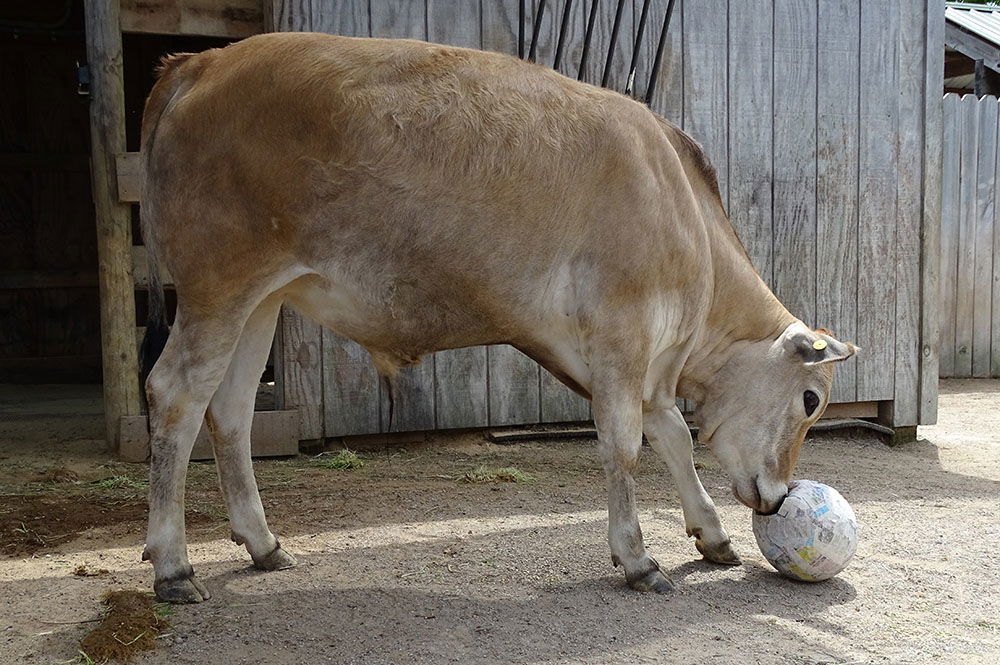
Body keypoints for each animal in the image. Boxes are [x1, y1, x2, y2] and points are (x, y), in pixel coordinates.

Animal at [139, 31, 860, 600]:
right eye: (811, 399)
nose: (780, 497)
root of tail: (202, 62)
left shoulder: (647, 364)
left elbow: (674, 437)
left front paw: (711, 535)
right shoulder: (621, 336)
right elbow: (625, 446)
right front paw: (637, 557)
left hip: (260, 300)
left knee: (230, 410)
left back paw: (263, 543)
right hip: (218, 282)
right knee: (174, 394)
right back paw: (173, 567)